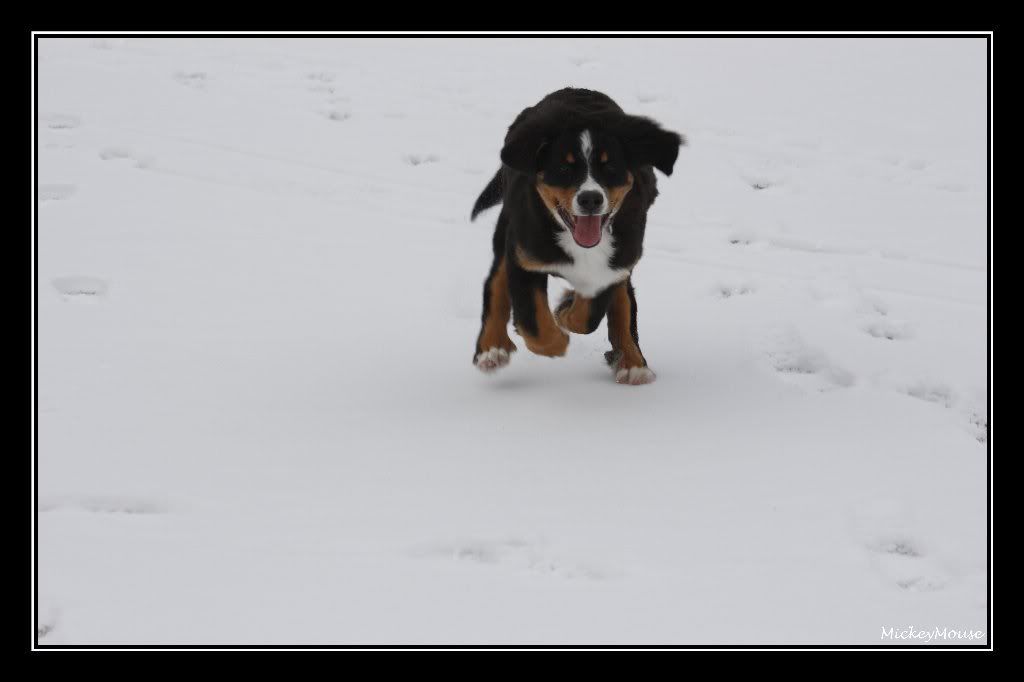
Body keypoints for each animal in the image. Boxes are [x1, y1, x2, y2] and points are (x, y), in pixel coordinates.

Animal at [473, 87, 688, 382]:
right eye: (564, 169)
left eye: (611, 168)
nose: (590, 199)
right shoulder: (525, 257)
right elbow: (533, 322)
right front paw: (555, 340)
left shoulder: (613, 266)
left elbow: (590, 315)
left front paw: (564, 311)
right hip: (509, 230)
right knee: (495, 284)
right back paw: (492, 350)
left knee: (623, 306)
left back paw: (633, 364)